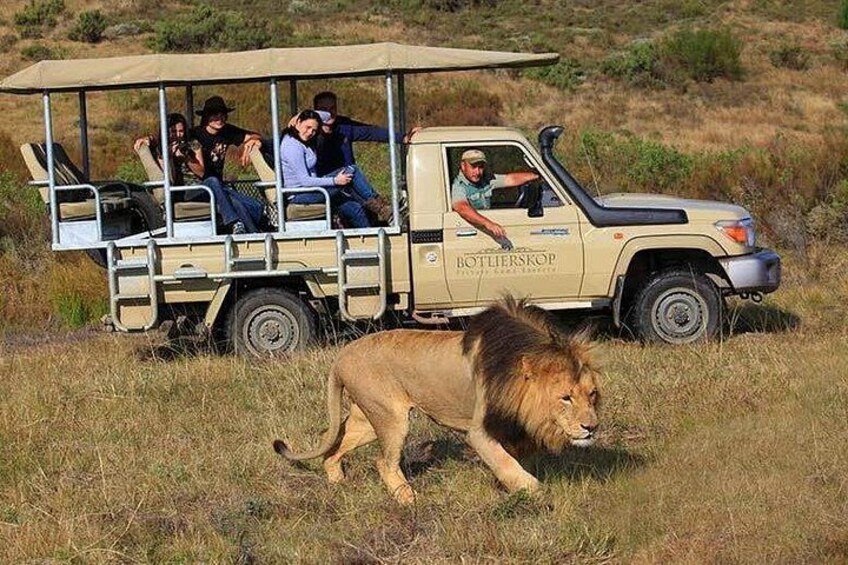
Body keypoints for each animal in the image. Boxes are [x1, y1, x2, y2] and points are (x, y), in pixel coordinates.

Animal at [273, 296, 600, 504]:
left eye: (592, 394)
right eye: (566, 398)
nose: (592, 427)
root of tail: (342, 355)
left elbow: (512, 459)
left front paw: (506, 485)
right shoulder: (479, 431)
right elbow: (506, 462)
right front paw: (534, 492)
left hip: (365, 418)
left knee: (333, 446)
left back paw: (338, 483)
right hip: (392, 419)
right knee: (383, 462)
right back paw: (408, 500)